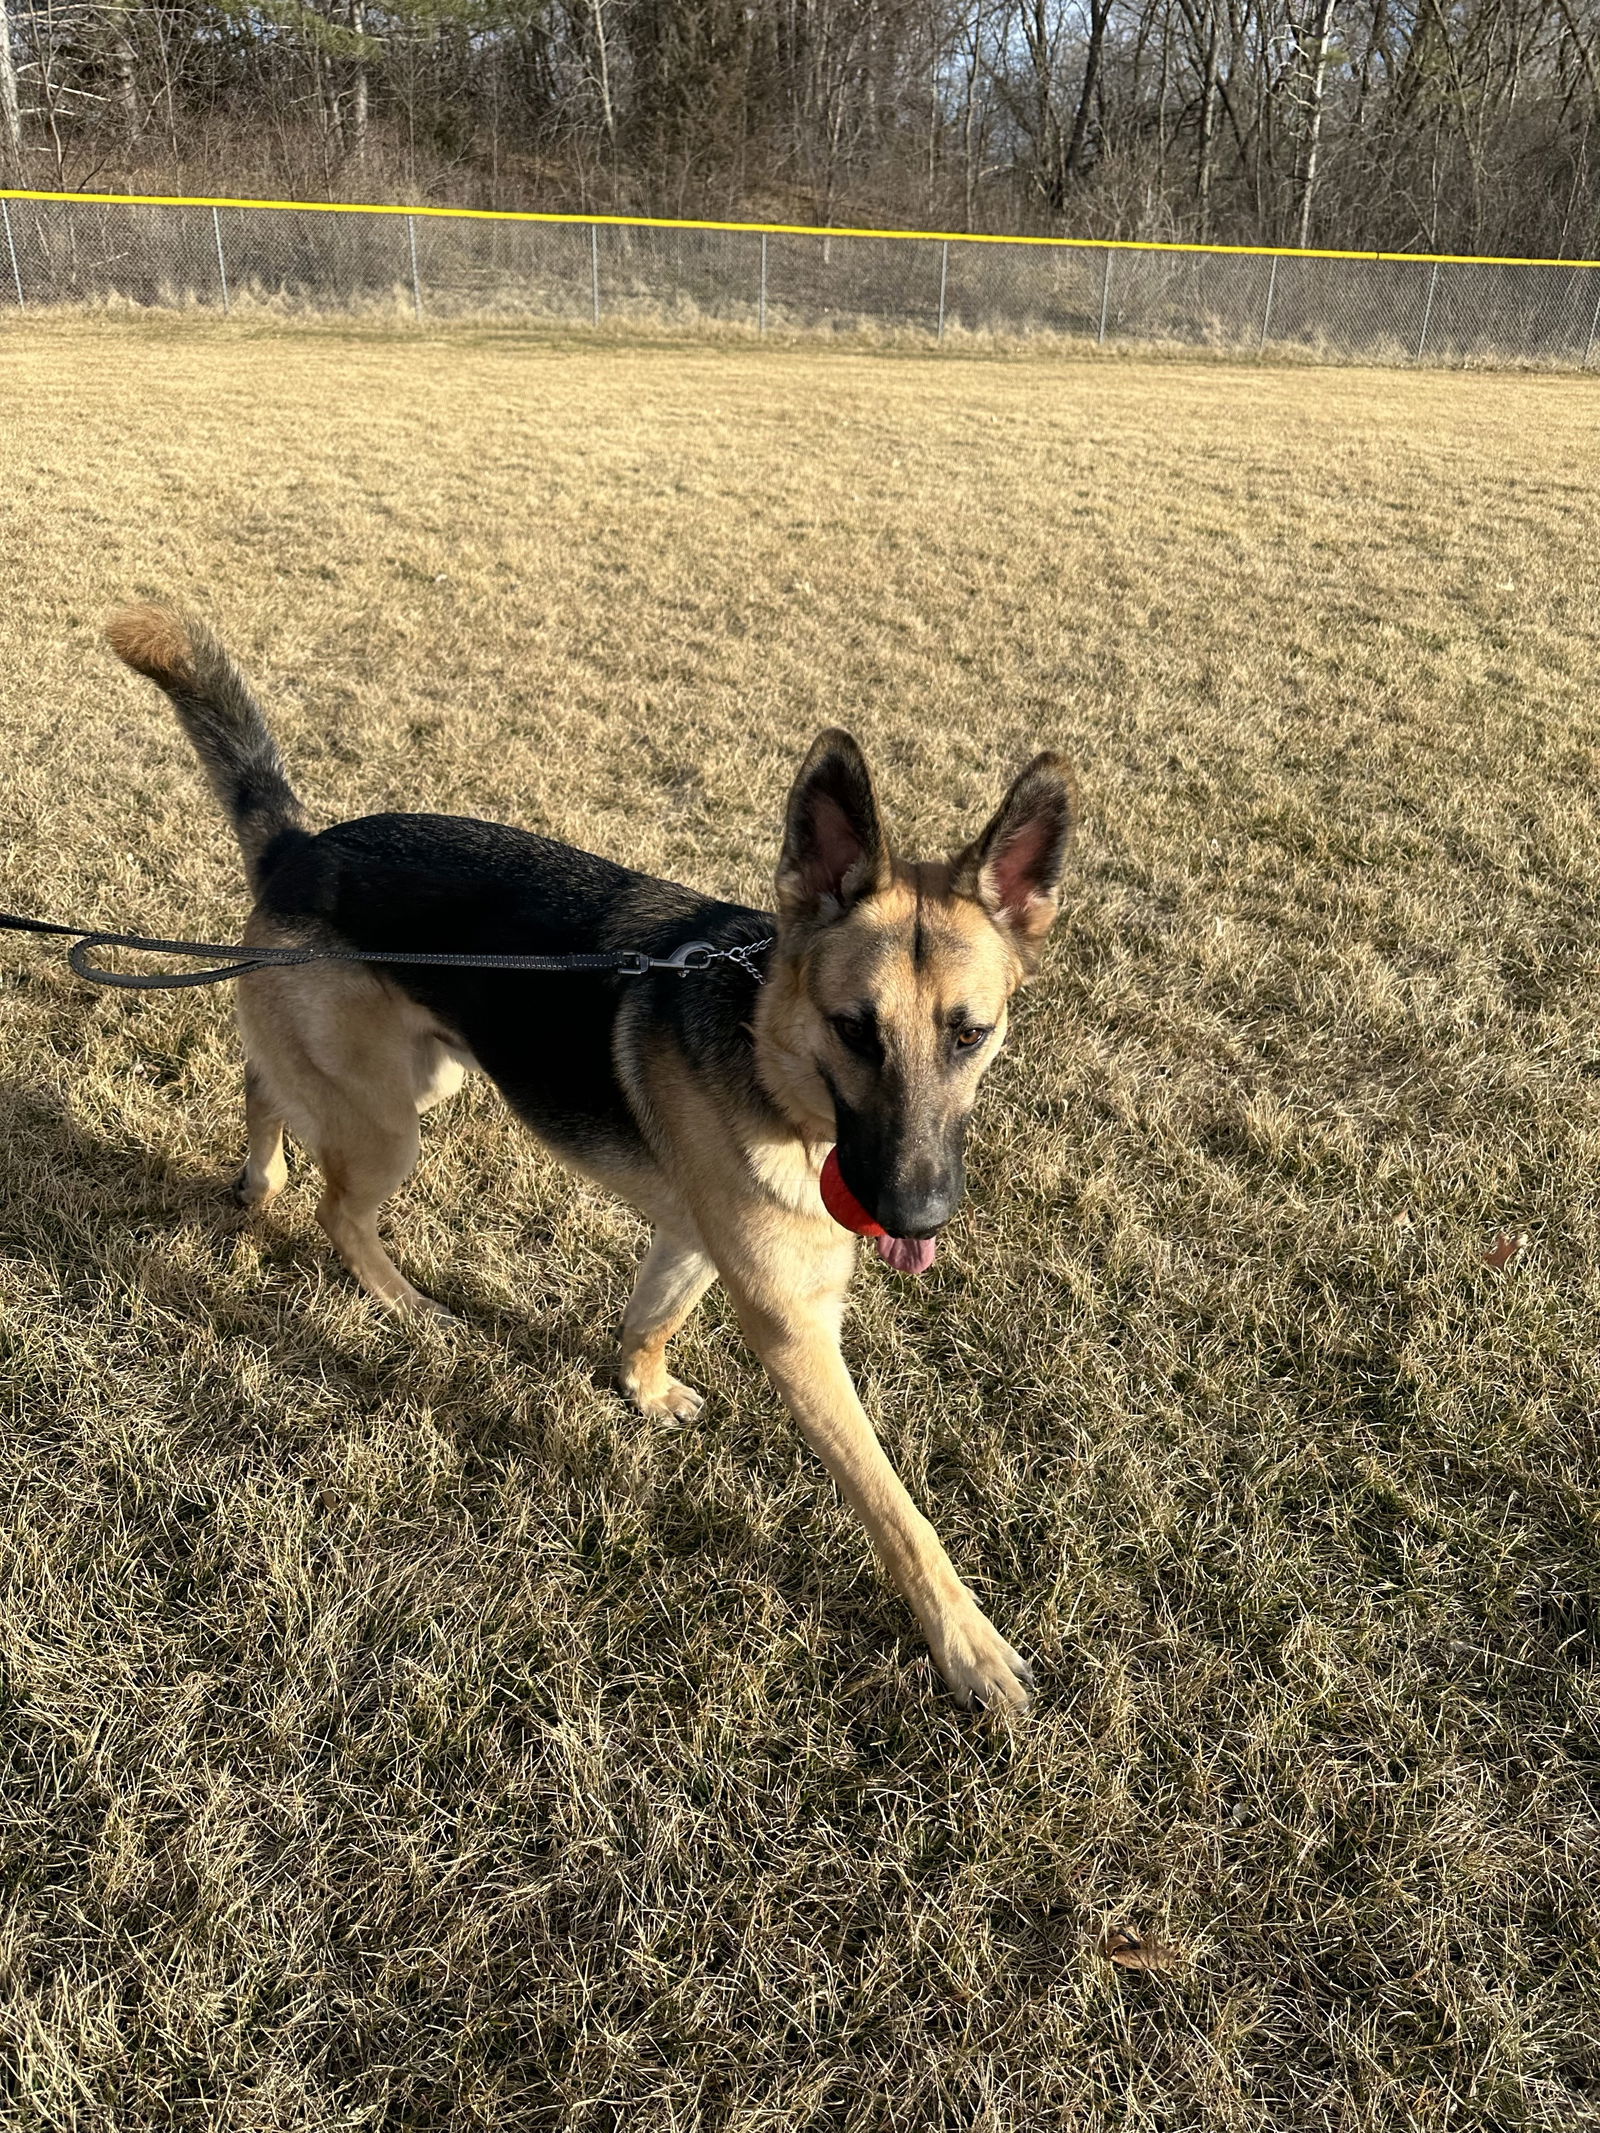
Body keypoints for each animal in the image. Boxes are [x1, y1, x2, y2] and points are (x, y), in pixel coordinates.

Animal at [109, 605, 1079, 1714]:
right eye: (853, 1030)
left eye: (970, 1035)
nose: (916, 1217)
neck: (767, 1052)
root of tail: (302, 847)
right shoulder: (794, 1328)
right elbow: (894, 1505)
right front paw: (966, 1643)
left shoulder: (693, 1238)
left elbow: (650, 1318)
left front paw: (641, 1390)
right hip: (392, 1124)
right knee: (338, 1211)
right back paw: (404, 1302)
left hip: (417, 1079)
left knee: (264, 1082)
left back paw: (258, 1176)